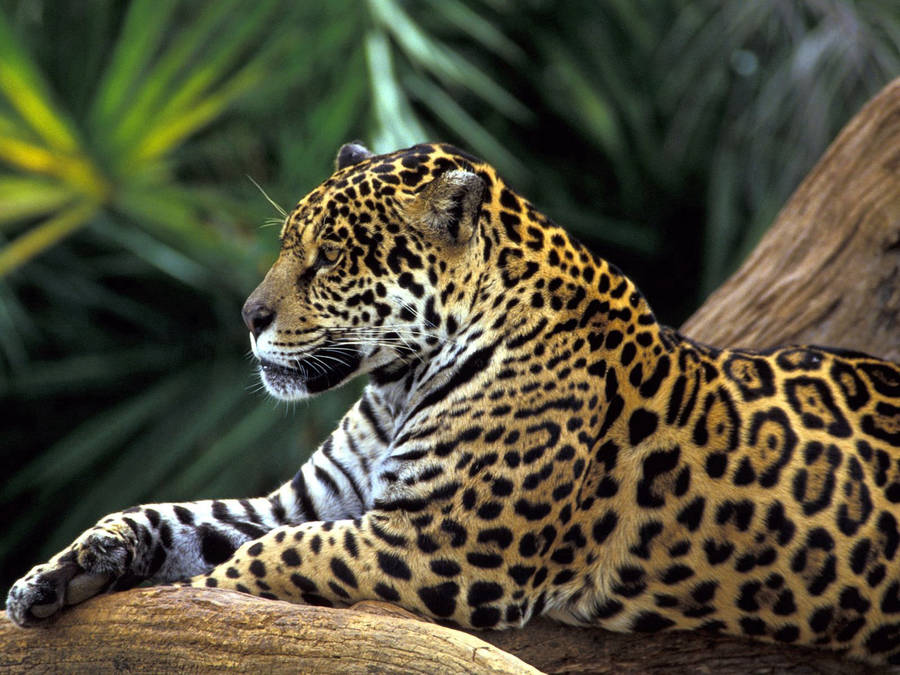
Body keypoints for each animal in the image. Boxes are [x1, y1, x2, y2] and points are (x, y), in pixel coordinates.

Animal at [6, 142, 900, 664]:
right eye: (285, 242)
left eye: (330, 257)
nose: (248, 316)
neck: (398, 378)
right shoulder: (310, 500)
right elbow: (173, 517)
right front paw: (59, 573)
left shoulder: (443, 545)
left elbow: (273, 557)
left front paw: (208, 595)